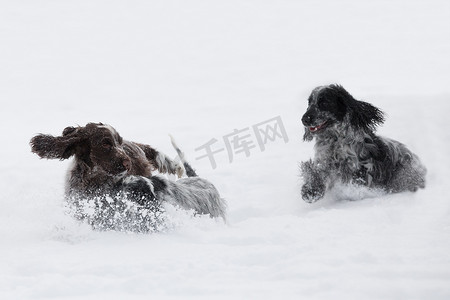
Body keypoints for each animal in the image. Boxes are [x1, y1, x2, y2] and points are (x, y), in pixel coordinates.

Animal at [300, 83, 428, 203]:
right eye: (309, 103)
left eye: (324, 103)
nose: (304, 119)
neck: (335, 140)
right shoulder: (325, 161)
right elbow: (316, 172)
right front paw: (310, 191)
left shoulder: (356, 169)